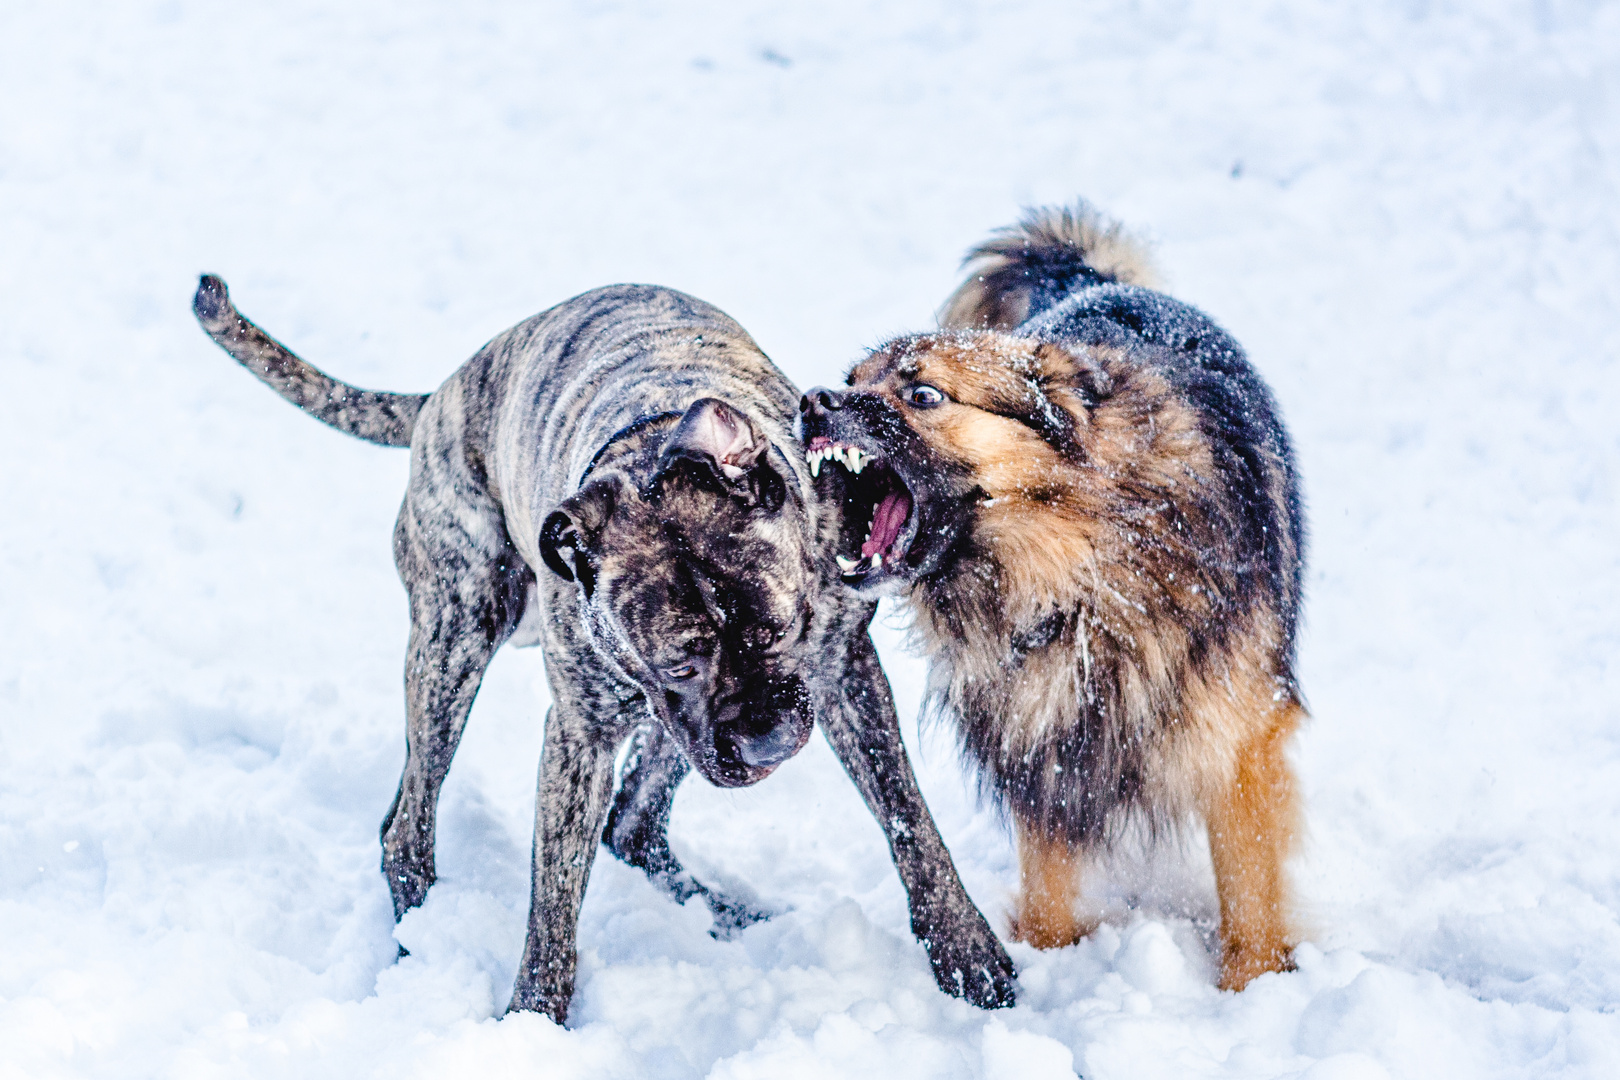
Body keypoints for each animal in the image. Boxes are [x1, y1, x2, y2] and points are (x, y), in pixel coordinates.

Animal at [192, 276, 1010, 1023]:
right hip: (456, 637)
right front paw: (534, 1022)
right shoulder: (581, 735)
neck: (648, 450)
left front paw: (965, 950)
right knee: (412, 823)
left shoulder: (842, 672)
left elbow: (909, 820)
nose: (770, 740)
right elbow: (554, 898)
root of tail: (442, 395)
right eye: (680, 662)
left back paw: (723, 915)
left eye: (783, 629)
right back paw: (417, 931)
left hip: (645, 721)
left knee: (627, 823)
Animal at [803, 204, 1308, 997]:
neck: (1079, 572)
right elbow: (1048, 889)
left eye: (923, 395)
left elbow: (1251, 894)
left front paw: (1252, 994)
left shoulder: (1242, 739)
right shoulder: (1040, 737)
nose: (811, 400)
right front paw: (1046, 960)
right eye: (851, 378)